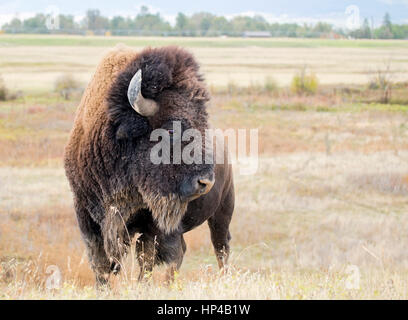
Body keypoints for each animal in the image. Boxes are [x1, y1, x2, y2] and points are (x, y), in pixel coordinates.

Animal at [64, 45, 236, 284]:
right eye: (171, 129)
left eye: (203, 124)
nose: (205, 182)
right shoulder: (86, 214)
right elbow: (100, 264)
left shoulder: (155, 224)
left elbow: (150, 259)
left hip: (223, 209)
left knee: (220, 246)